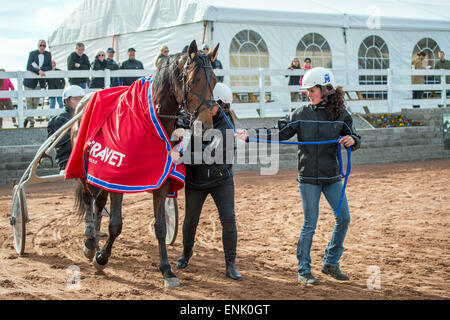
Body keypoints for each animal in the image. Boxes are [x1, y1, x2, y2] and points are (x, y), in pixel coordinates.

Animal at [71, 40, 221, 288]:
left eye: (216, 80)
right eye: (192, 81)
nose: (206, 126)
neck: (149, 122)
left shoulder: (161, 180)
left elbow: (160, 227)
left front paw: (166, 270)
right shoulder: (118, 178)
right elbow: (116, 224)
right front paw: (102, 257)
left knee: (98, 201)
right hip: (85, 169)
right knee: (88, 197)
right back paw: (90, 242)